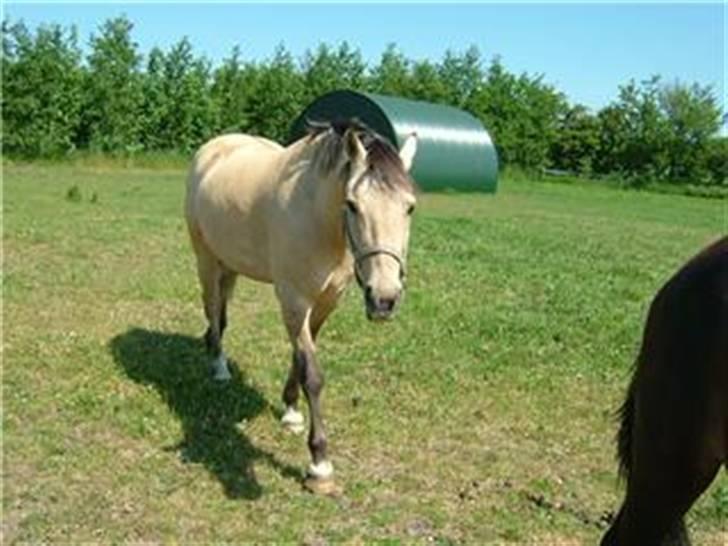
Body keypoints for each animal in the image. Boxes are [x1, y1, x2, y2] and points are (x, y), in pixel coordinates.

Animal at [185, 119, 418, 492]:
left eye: (409, 207)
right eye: (352, 204)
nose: (384, 299)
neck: (318, 218)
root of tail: (214, 148)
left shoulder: (325, 302)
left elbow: (300, 356)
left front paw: (292, 413)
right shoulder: (294, 300)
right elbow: (313, 374)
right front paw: (319, 464)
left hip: (229, 264)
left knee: (220, 312)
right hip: (205, 261)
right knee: (213, 312)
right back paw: (219, 366)